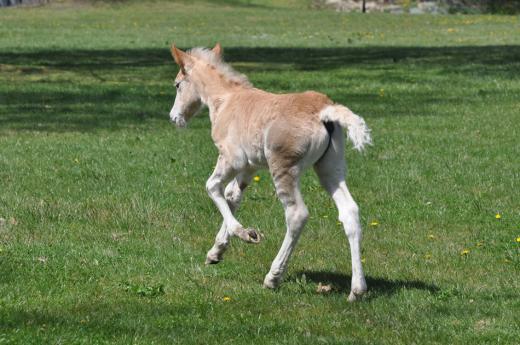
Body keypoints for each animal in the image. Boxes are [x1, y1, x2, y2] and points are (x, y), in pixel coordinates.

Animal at [169, 43, 372, 300]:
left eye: (177, 85)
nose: (174, 117)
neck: (226, 100)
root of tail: (324, 110)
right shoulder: (249, 167)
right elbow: (232, 196)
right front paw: (216, 252)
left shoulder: (232, 159)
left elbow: (212, 187)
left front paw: (245, 234)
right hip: (330, 168)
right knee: (350, 212)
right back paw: (357, 290)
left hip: (283, 167)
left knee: (296, 214)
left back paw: (273, 277)